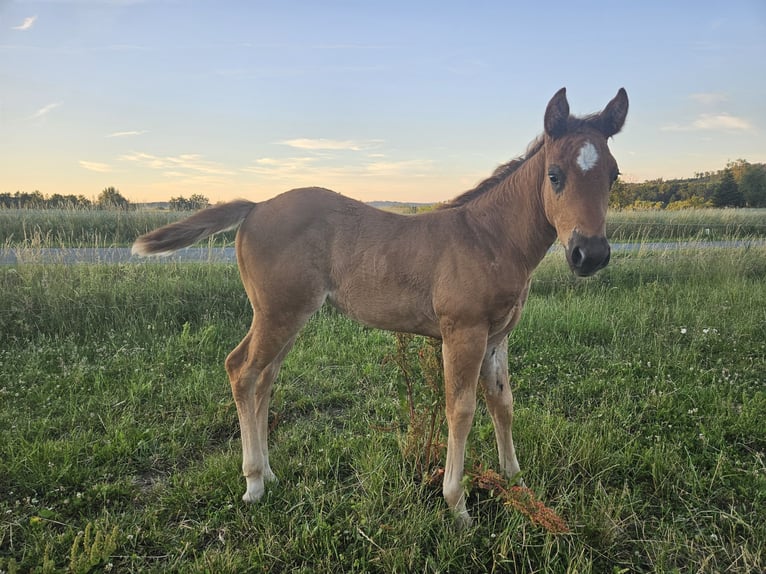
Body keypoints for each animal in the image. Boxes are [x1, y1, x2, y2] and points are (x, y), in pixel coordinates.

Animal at [133, 87, 629, 525]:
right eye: (554, 174)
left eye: (614, 175)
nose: (590, 253)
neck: (489, 237)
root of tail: (255, 206)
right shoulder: (462, 333)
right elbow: (461, 409)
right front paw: (457, 504)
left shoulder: (497, 336)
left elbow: (502, 403)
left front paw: (515, 482)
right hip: (278, 312)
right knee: (242, 370)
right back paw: (254, 482)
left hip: (288, 316)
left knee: (265, 378)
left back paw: (270, 474)